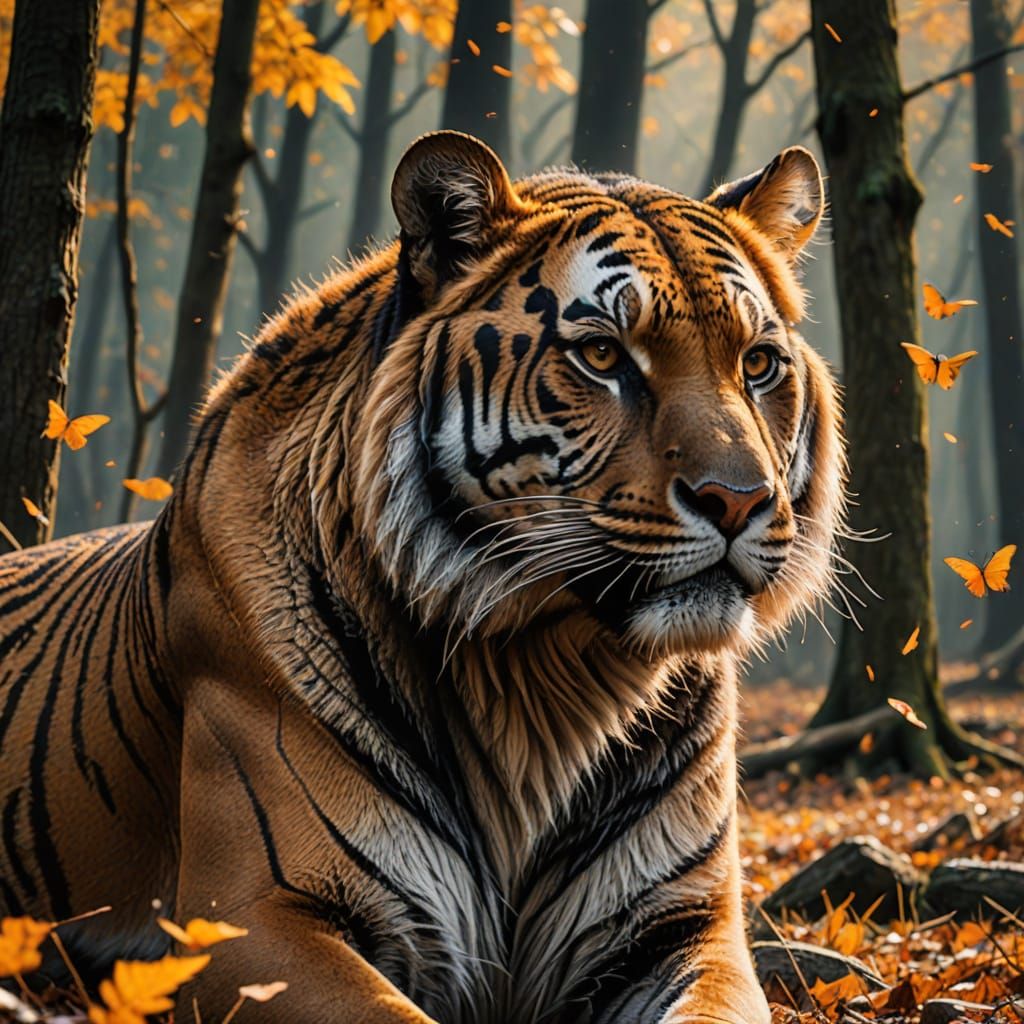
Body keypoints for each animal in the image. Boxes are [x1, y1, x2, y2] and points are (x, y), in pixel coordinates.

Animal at [0, 130, 843, 1024]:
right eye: (603, 355)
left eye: (757, 364)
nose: (739, 499)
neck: (551, 680)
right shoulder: (249, 921)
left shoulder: (686, 926)